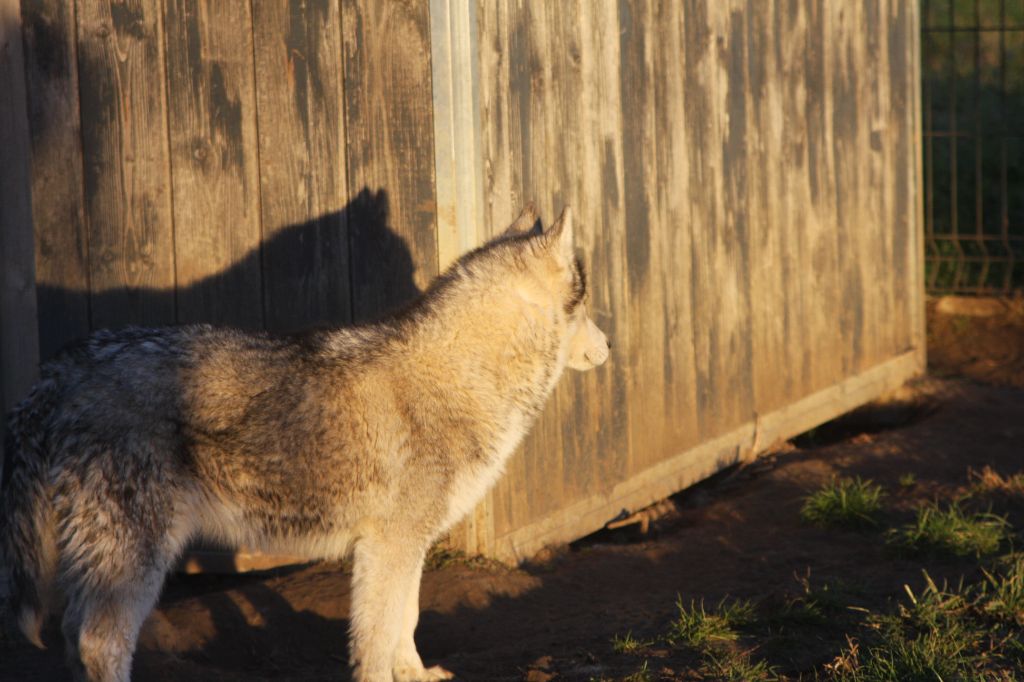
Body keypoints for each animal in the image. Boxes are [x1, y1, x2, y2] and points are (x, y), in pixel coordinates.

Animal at [1, 205, 609, 682]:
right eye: (584, 306)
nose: (608, 346)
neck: (461, 376)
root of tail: (60, 368)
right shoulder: (390, 545)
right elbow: (377, 641)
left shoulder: (403, 545)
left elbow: (406, 623)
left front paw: (415, 674)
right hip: (138, 559)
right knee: (98, 644)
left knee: (73, 637)